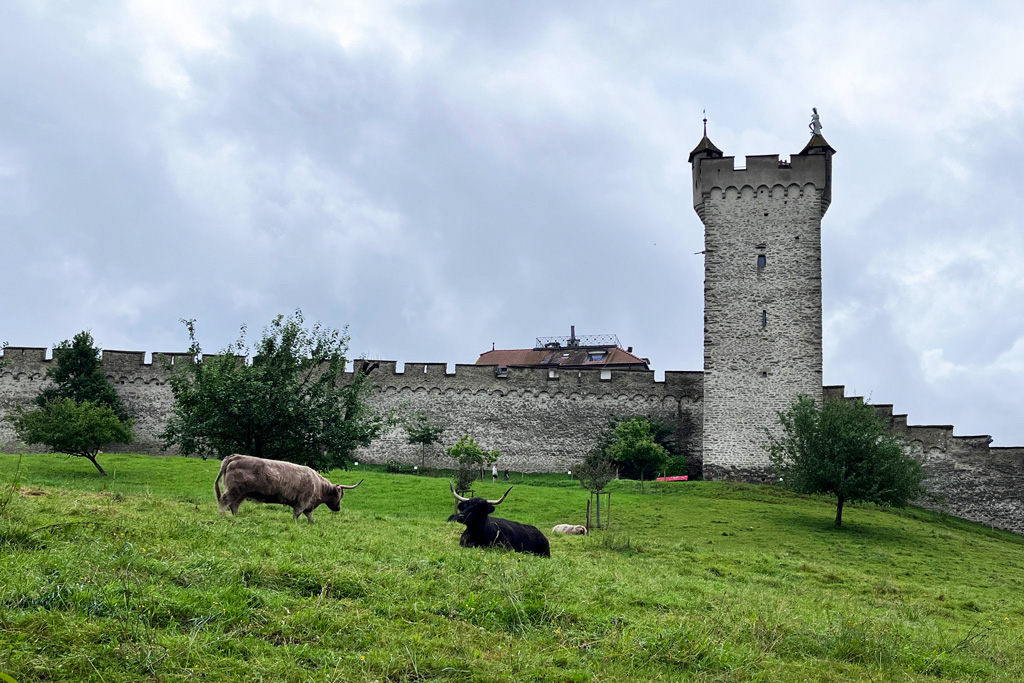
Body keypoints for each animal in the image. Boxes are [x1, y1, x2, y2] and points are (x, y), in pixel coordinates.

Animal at [211, 454, 364, 524]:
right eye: (340, 496)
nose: (338, 508)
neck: (319, 486)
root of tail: (235, 456)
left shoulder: (308, 505)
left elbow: (309, 516)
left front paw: (312, 523)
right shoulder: (302, 502)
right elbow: (297, 514)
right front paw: (295, 523)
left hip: (241, 493)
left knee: (234, 505)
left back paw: (236, 517)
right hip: (234, 490)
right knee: (225, 501)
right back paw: (222, 515)